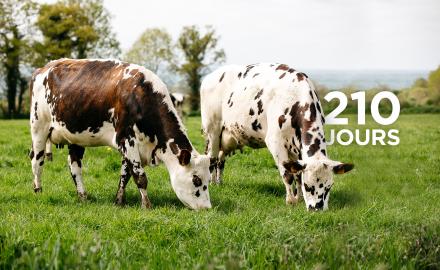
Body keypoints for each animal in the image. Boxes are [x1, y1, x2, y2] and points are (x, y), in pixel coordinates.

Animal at [29, 59, 211, 210]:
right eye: (196, 179)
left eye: (209, 180)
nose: (207, 208)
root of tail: (44, 68)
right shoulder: (126, 139)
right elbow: (140, 176)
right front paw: (147, 205)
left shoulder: (132, 146)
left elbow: (125, 174)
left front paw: (119, 201)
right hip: (39, 128)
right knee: (37, 161)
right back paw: (38, 190)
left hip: (75, 136)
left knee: (74, 166)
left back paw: (83, 196)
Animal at [199, 63, 354, 211]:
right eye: (308, 186)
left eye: (329, 187)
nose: (317, 209)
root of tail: (211, 76)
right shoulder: (275, 142)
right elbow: (288, 174)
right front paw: (290, 201)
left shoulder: (296, 149)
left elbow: (297, 174)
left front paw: (299, 198)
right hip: (212, 129)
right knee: (211, 158)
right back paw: (210, 184)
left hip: (226, 135)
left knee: (220, 160)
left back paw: (218, 182)